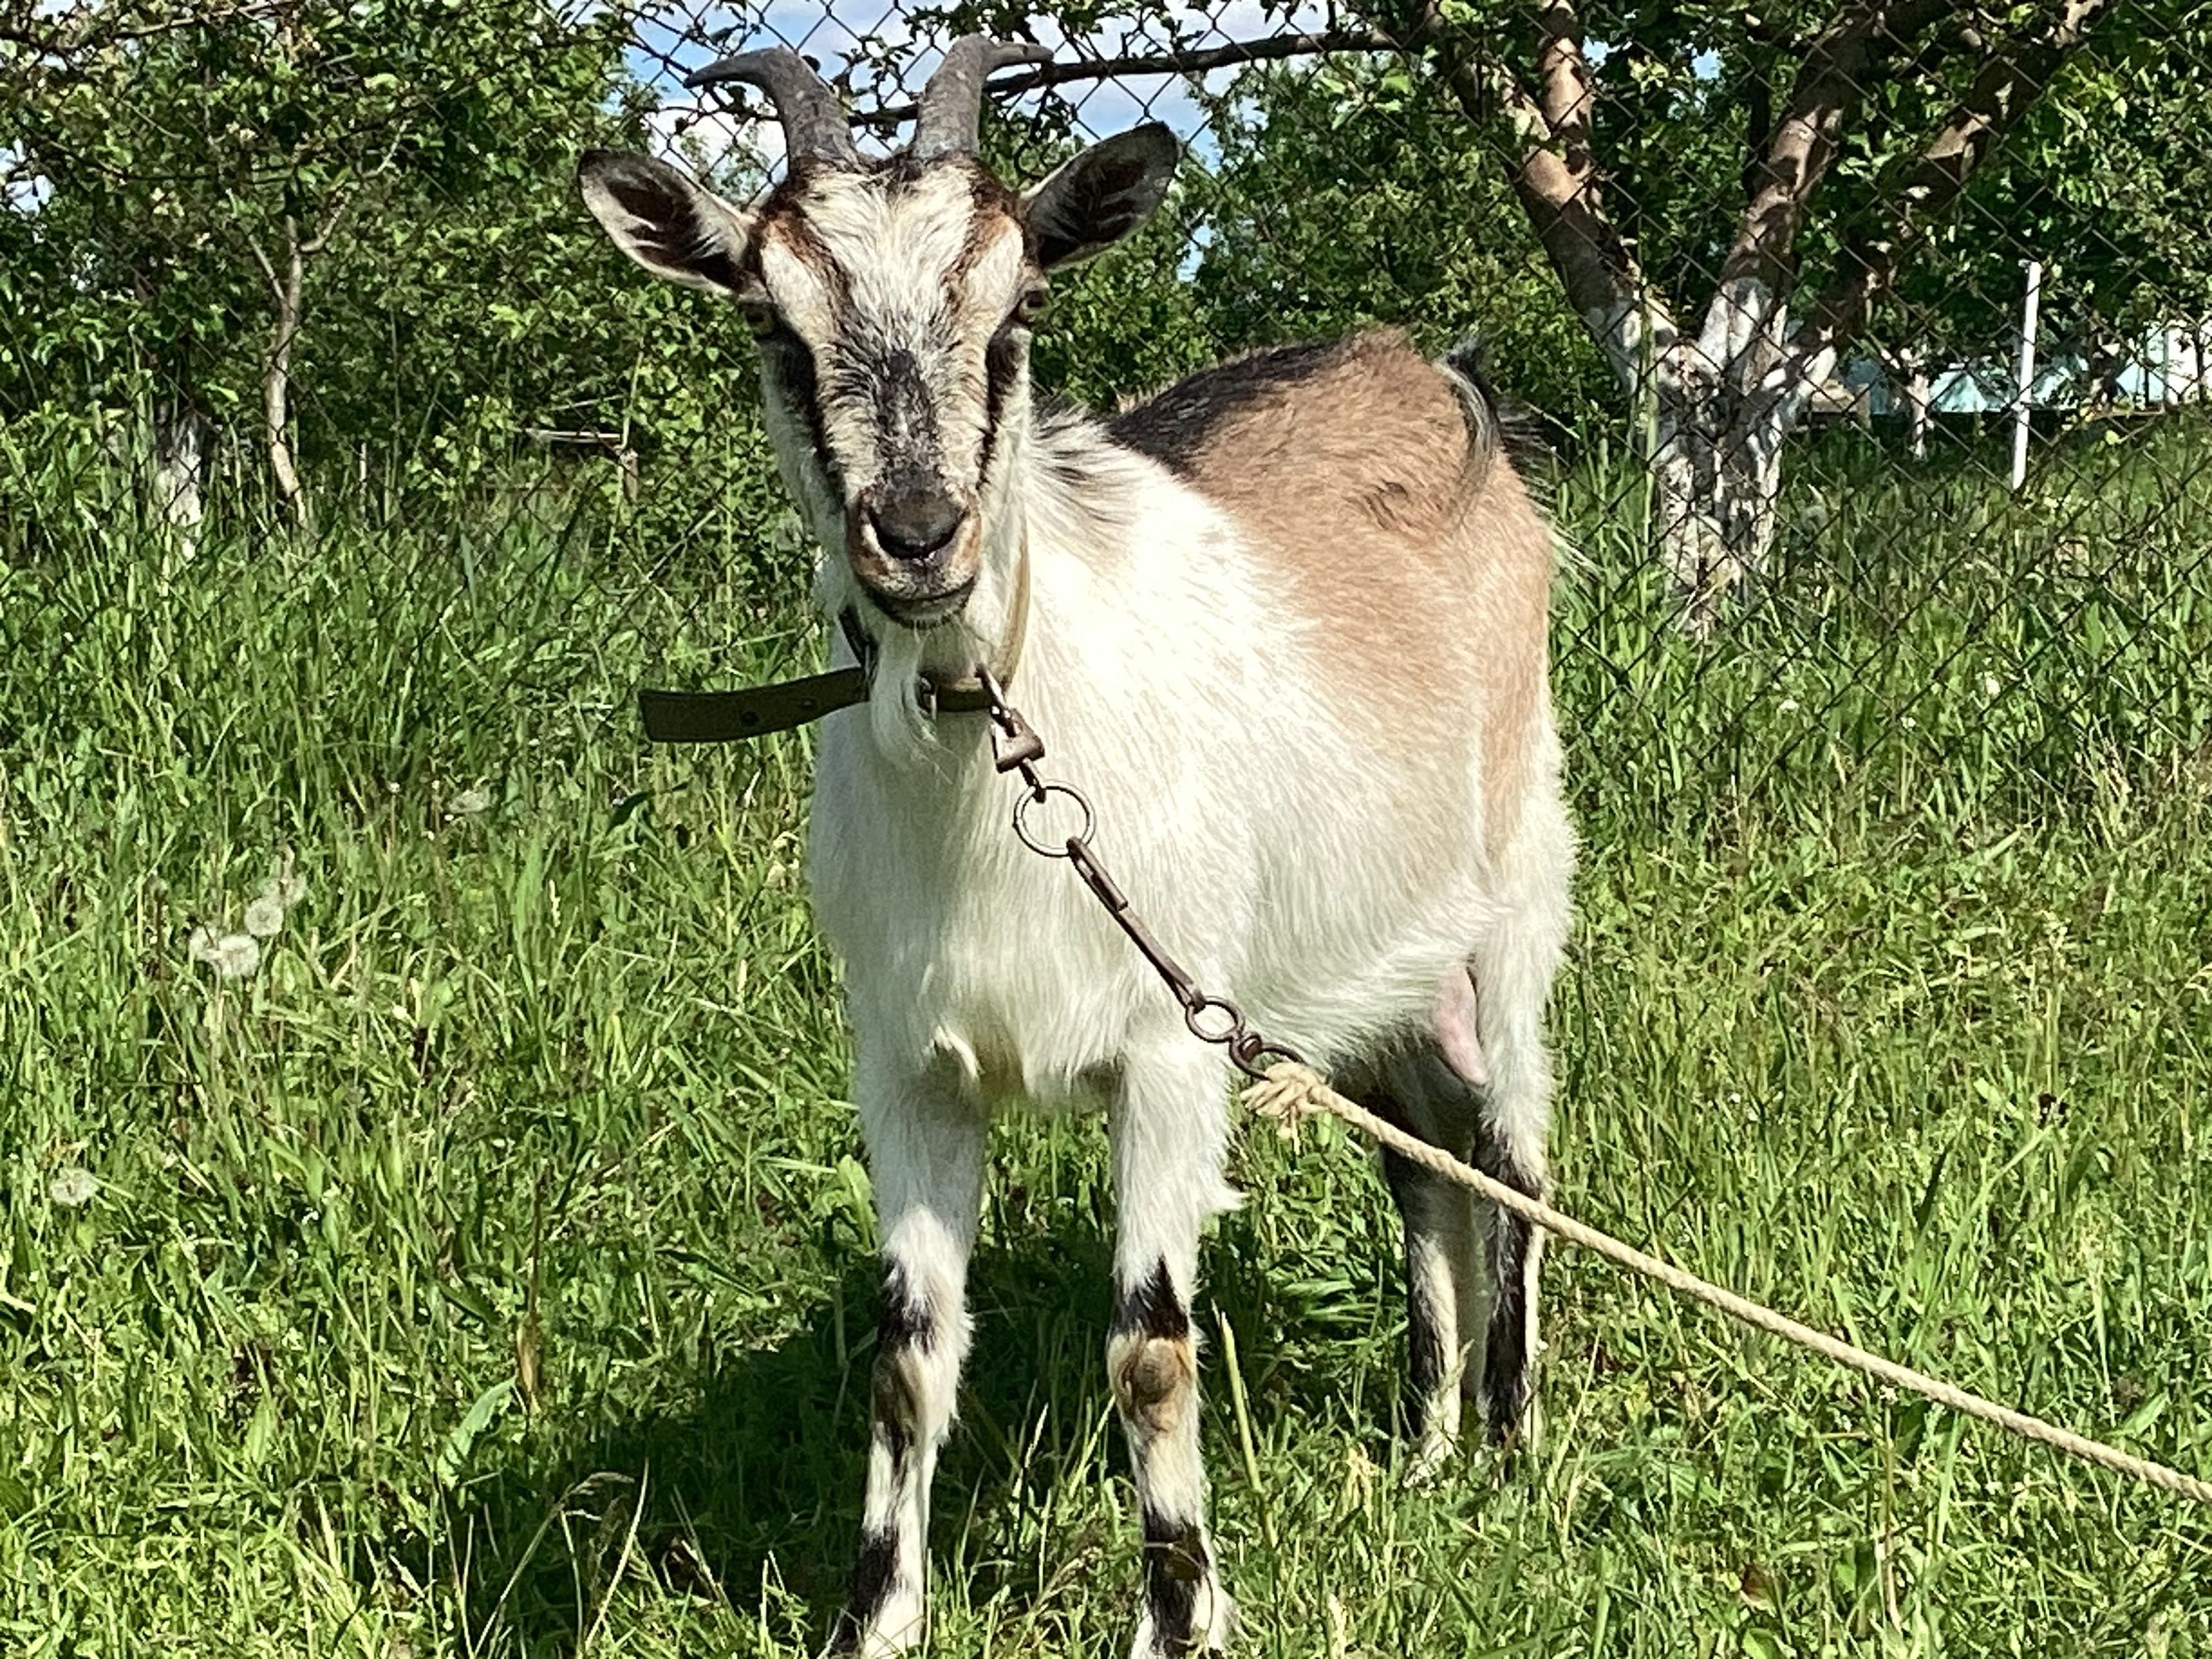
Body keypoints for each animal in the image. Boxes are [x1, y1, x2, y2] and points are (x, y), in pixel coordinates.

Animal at [575, 32, 1574, 1654]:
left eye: (1019, 309)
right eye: (773, 326)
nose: (918, 530)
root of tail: (1434, 375)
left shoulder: (1168, 1049)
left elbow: (1149, 1352)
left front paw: (1181, 1616)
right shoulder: (909, 1064)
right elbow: (905, 1354)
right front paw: (876, 1619)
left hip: (1513, 897)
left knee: (1511, 1151)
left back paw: (1505, 1444)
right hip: (1359, 969)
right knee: (1418, 1157)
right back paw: (1422, 1448)